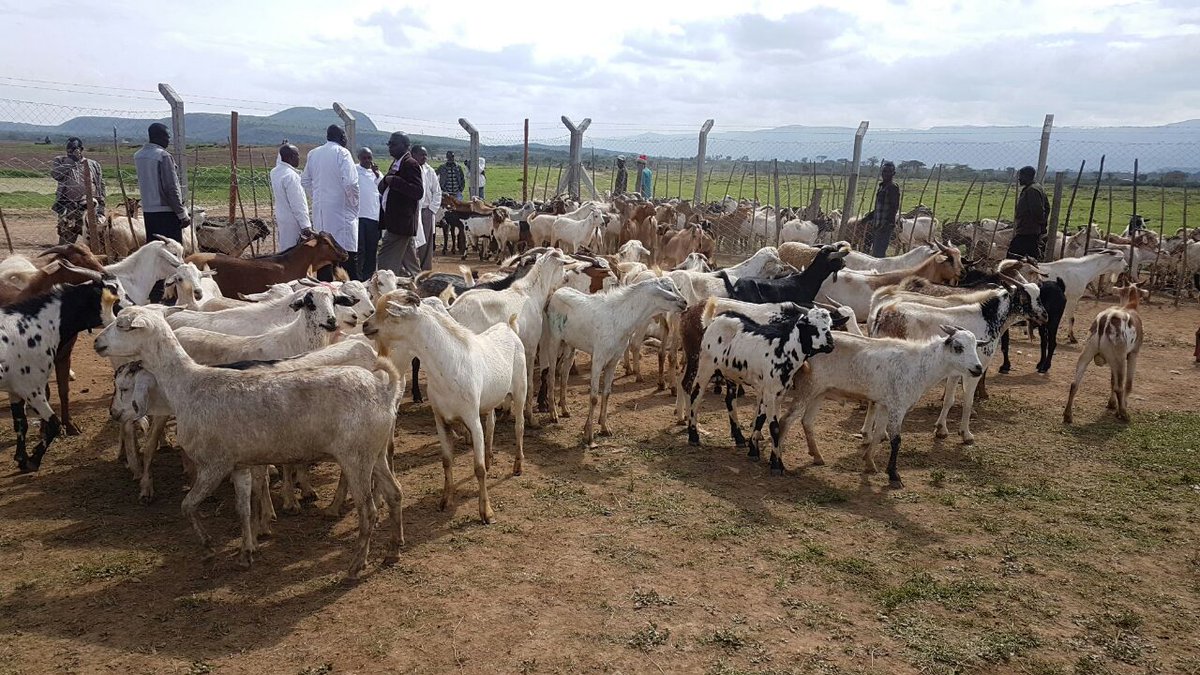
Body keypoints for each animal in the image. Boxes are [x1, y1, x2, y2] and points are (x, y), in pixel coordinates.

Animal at [94, 308, 403, 578]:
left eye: (122, 325)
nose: (97, 341)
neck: (187, 386)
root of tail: (383, 390)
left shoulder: (213, 465)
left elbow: (187, 505)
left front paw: (208, 548)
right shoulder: (238, 464)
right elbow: (242, 508)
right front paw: (246, 552)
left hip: (356, 457)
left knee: (369, 512)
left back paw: (357, 564)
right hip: (374, 454)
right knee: (395, 493)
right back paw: (393, 551)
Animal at [364, 290, 526, 524]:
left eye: (389, 314)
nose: (365, 325)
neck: (448, 365)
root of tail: (509, 328)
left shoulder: (472, 419)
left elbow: (478, 469)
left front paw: (486, 512)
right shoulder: (440, 419)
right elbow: (447, 461)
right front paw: (445, 500)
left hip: (521, 391)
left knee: (519, 427)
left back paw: (518, 466)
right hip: (489, 401)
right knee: (492, 424)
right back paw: (490, 457)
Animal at [686, 300, 839, 474]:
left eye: (830, 325)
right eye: (811, 326)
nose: (830, 344)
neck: (783, 350)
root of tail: (714, 320)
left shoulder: (776, 392)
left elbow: (761, 420)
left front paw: (755, 450)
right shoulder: (770, 393)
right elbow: (774, 426)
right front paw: (776, 465)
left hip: (731, 374)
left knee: (730, 401)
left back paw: (739, 437)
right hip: (705, 366)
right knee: (695, 396)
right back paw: (693, 436)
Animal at [777, 327, 986, 488]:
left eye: (976, 347)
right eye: (958, 348)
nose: (978, 368)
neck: (921, 366)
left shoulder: (886, 405)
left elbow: (878, 434)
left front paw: (869, 463)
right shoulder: (898, 406)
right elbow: (896, 440)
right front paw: (894, 476)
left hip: (819, 392)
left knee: (806, 421)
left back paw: (817, 456)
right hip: (808, 387)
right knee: (785, 420)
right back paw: (778, 463)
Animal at [1063, 284, 1144, 424]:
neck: (1130, 306)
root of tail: (1106, 319)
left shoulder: (1112, 362)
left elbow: (1112, 380)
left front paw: (1112, 404)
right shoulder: (1133, 354)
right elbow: (1127, 384)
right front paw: (1121, 407)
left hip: (1088, 354)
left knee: (1074, 384)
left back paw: (1068, 415)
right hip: (1120, 359)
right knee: (1119, 387)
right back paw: (1124, 414)